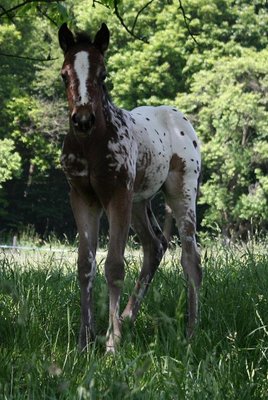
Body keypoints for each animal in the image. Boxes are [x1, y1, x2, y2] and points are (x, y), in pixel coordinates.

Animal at [58, 22, 201, 354]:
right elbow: (85, 265)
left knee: (191, 258)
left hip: (181, 192)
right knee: (155, 245)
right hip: (138, 202)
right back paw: (127, 318)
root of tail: (179, 117)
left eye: (103, 74)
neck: (92, 144)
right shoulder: (82, 198)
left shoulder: (116, 196)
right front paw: (84, 343)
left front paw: (111, 345)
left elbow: (114, 266)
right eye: (64, 74)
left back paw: (190, 334)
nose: (83, 120)